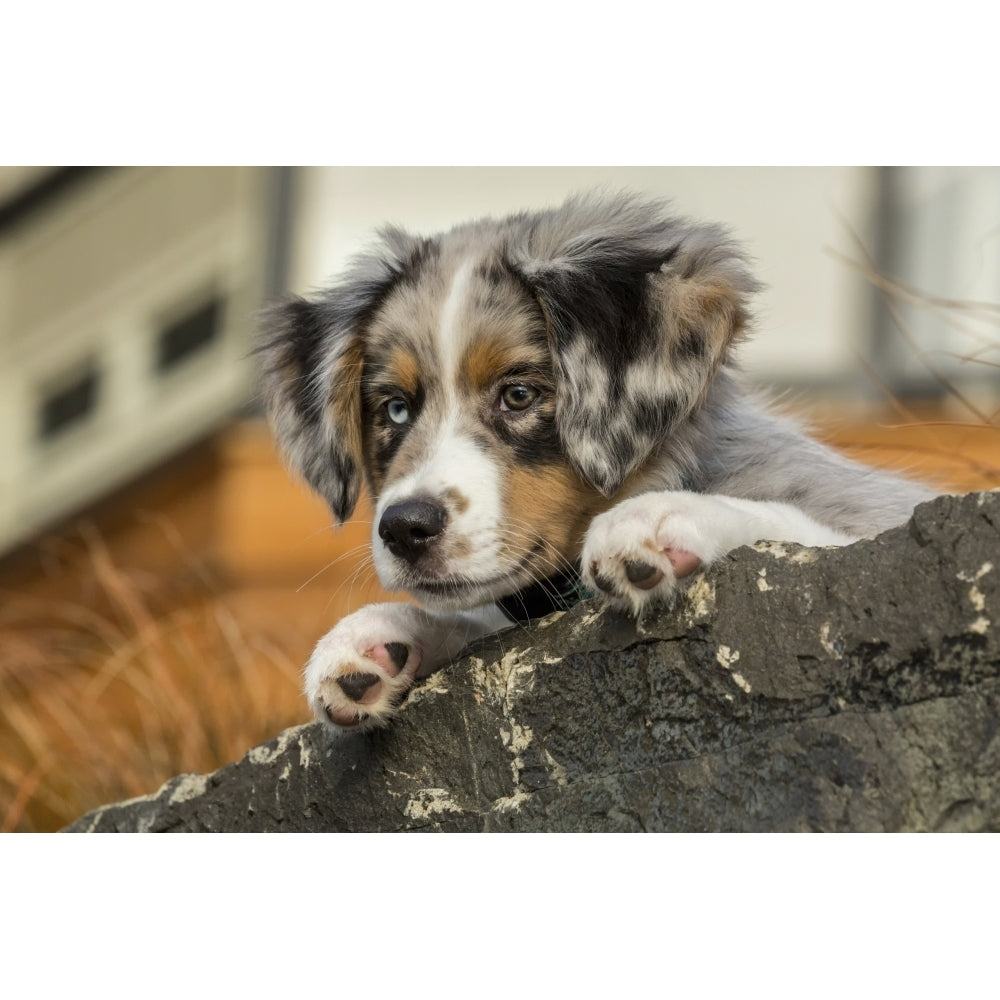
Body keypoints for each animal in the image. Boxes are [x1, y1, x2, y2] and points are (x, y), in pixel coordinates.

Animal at [258, 191, 928, 732]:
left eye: (518, 395)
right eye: (395, 410)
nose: (404, 529)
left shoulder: (877, 518)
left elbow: (798, 525)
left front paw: (660, 517)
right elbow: (481, 622)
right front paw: (373, 638)